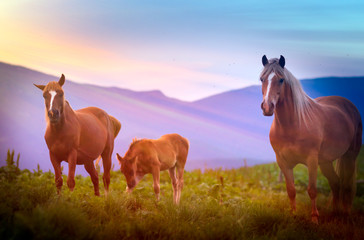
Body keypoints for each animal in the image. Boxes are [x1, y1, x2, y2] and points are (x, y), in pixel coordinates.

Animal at [258, 54, 362, 223]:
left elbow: (312, 190)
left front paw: (314, 218)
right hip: (326, 161)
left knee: (347, 185)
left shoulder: (311, 160)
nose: (267, 107)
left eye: (281, 80)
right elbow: (291, 190)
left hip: (349, 156)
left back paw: (345, 214)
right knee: (335, 182)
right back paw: (335, 212)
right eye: (262, 79)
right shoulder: (283, 162)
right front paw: (293, 215)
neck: (293, 125)